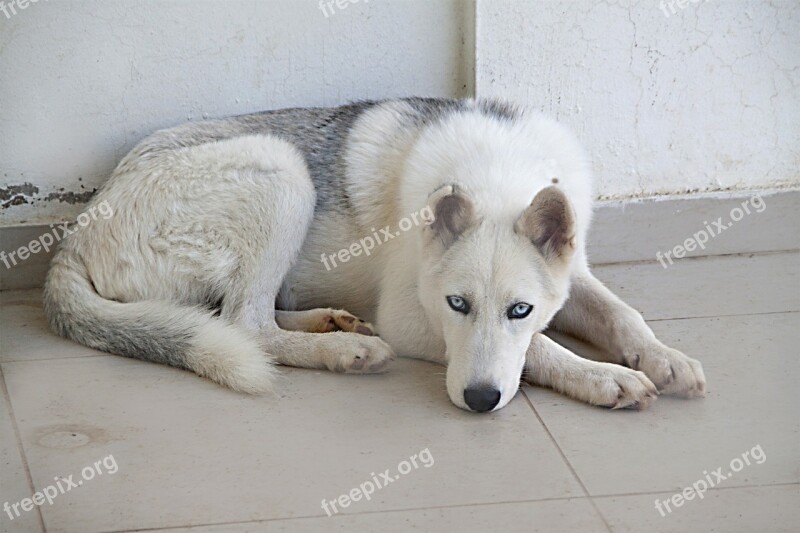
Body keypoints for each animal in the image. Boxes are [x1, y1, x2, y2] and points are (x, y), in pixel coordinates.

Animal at [45, 96, 708, 412]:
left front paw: (663, 358)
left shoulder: (574, 277)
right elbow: (541, 350)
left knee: (239, 315)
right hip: (282, 170)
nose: (478, 403)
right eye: (457, 305)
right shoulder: (411, 317)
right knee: (243, 325)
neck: (496, 177)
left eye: (519, 309)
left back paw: (329, 322)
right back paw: (345, 349)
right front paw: (601, 377)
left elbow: (620, 315)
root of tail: (72, 238)